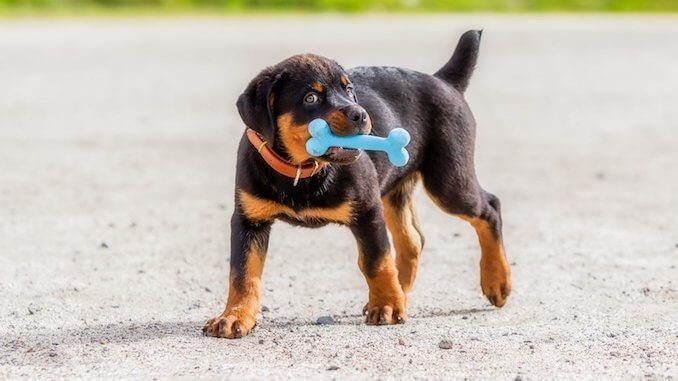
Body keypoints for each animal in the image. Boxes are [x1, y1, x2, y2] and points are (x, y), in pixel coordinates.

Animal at [205, 31, 512, 336]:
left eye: (349, 90)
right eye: (310, 98)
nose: (361, 114)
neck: (302, 170)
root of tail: (445, 81)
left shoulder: (367, 210)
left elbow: (377, 260)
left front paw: (387, 305)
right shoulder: (248, 220)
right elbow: (243, 273)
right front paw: (234, 315)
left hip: (448, 182)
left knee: (490, 208)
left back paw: (496, 281)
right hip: (395, 191)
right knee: (413, 240)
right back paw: (404, 292)